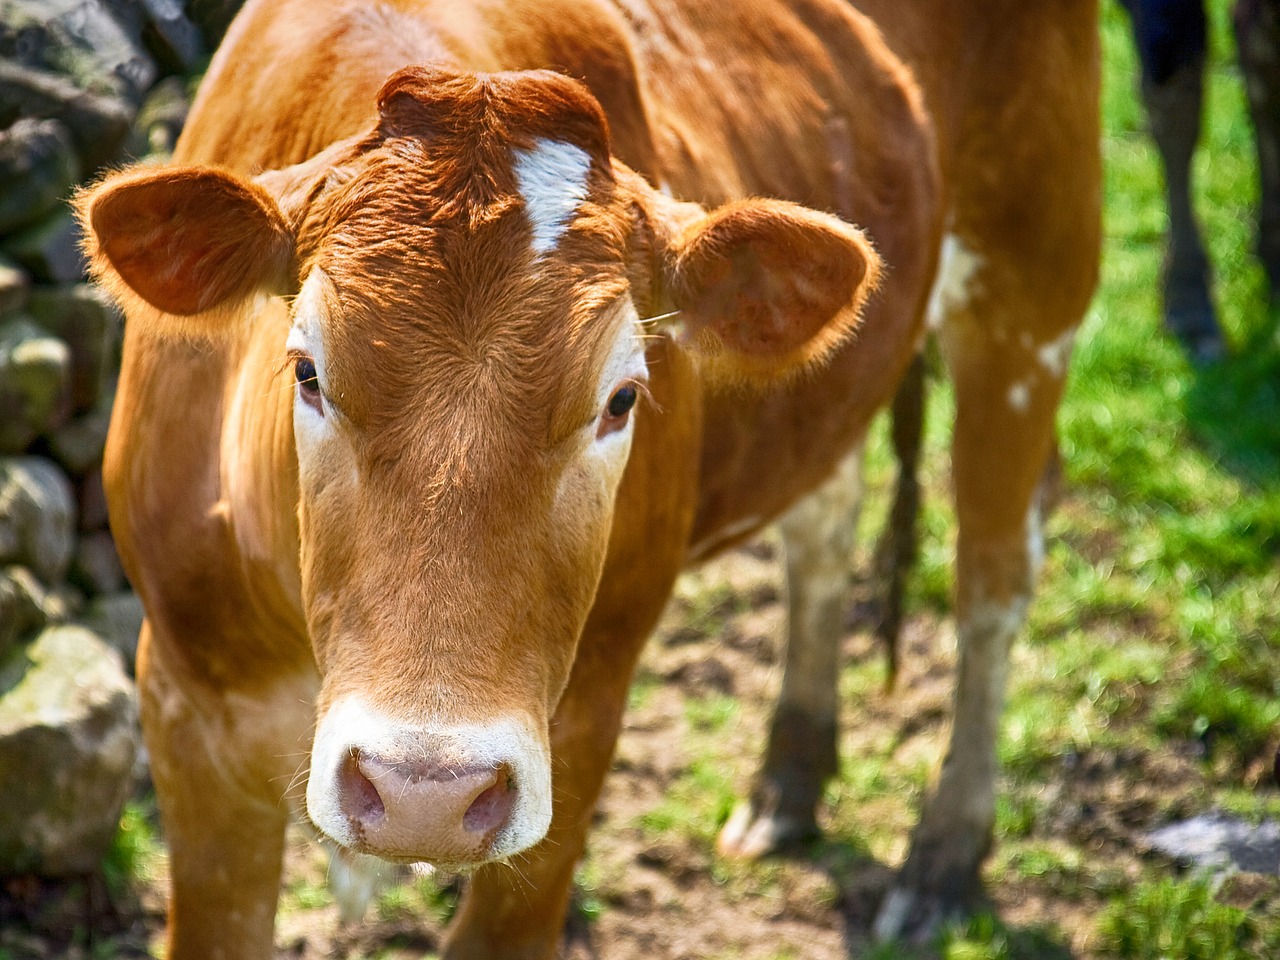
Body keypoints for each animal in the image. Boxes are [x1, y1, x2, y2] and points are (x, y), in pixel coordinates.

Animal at [80, 0, 1100, 957]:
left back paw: (945, 858)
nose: (423, 793)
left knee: (992, 579)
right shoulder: (184, 707)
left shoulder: (584, 721)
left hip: (1032, 284)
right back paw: (791, 778)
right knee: (822, 524)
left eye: (620, 398)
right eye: (305, 371)